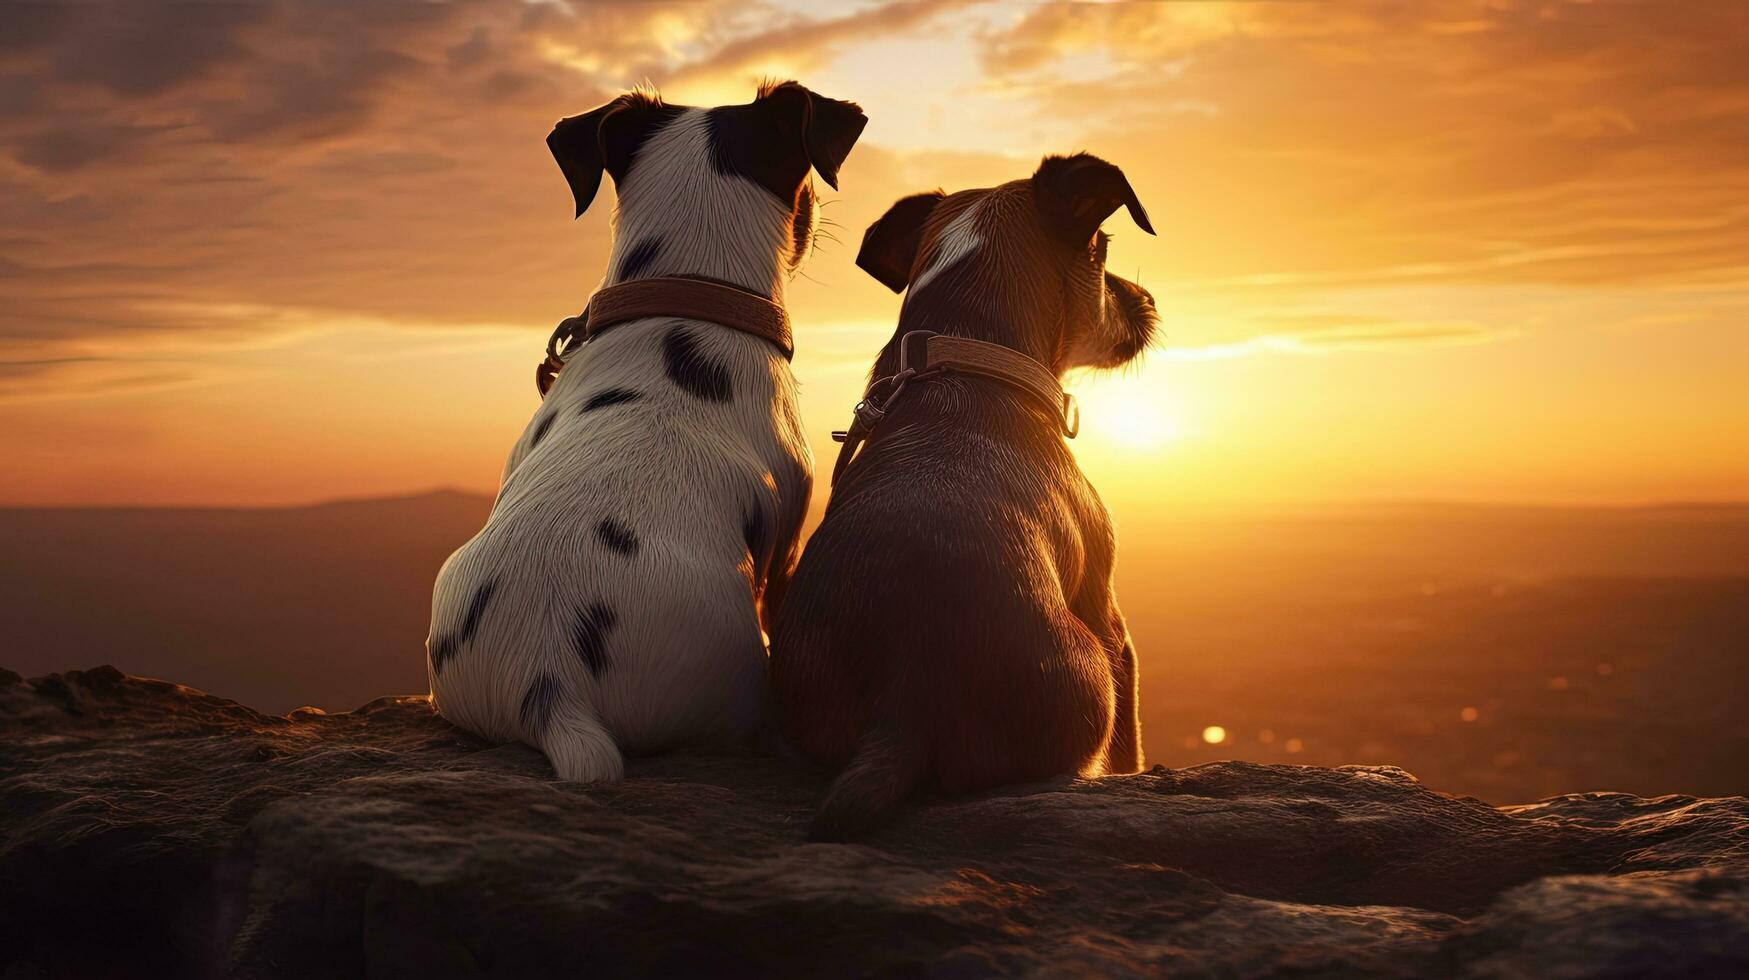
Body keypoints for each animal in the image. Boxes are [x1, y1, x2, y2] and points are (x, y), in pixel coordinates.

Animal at [769, 154, 1154, 843]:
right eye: (1103, 246)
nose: (1147, 300)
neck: (964, 353)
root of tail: (904, 710)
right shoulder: (1110, 617)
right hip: (1092, 684)